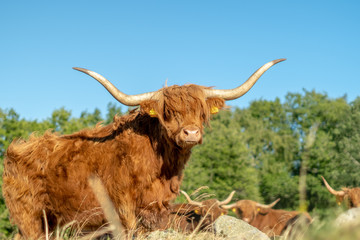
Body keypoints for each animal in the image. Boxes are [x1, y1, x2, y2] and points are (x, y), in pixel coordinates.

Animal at [2, 58, 284, 240]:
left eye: (201, 112)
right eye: (169, 113)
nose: (191, 133)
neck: (161, 166)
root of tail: (16, 147)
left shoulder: (158, 208)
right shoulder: (123, 208)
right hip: (29, 217)